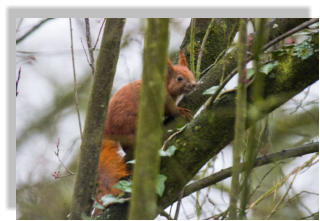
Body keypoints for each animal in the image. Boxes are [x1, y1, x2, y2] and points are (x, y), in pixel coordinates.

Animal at [94, 50, 196, 211]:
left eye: (191, 73)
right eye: (179, 78)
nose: (194, 85)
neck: (165, 84)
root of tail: (108, 129)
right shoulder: (164, 100)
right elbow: (172, 110)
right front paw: (181, 111)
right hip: (131, 124)